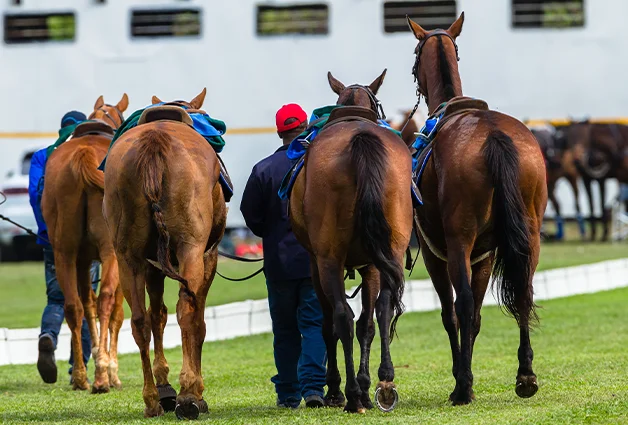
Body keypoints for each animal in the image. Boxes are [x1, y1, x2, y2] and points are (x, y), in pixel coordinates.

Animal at [41, 94, 129, 390]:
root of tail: (84, 155)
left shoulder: (82, 260)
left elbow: (86, 304)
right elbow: (116, 313)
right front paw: (112, 370)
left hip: (64, 252)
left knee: (73, 306)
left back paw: (80, 377)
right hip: (111, 252)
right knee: (106, 301)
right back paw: (101, 377)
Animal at [103, 88, 228, 418]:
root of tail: (154, 142)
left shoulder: (151, 265)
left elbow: (157, 315)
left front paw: (164, 387)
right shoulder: (208, 256)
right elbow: (198, 321)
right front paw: (193, 390)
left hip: (128, 258)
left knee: (139, 321)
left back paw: (151, 400)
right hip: (190, 249)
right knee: (187, 310)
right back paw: (188, 395)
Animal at [288, 71, 414, 412]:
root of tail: (360, 139)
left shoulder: (317, 263)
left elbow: (330, 324)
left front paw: (340, 387)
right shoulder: (372, 262)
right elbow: (368, 323)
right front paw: (367, 383)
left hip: (328, 259)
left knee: (341, 317)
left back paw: (350, 394)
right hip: (391, 250)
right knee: (382, 309)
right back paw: (384, 382)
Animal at [408, 13, 548, 402]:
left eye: (414, 56)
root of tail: (493, 135)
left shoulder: (434, 253)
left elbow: (453, 313)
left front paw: (461, 375)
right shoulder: (485, 255)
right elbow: (477, 317)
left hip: (458, 241)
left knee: (464, 304)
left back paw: (464, 388)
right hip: (530, 236)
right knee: (524, 293)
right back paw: (525, 375)